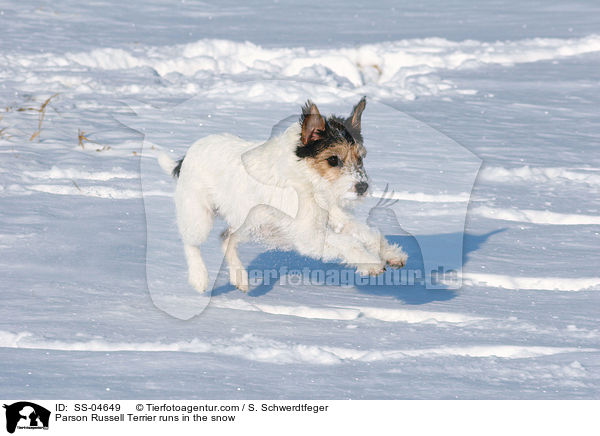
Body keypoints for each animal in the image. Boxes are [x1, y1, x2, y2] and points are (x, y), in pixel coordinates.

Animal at [159, 97, 408, 292]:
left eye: (361, 158)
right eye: (333, 159)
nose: (362, 187)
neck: (310, 181)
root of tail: (187, 156)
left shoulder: (335, 216)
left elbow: (368, 233)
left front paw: (390, 253)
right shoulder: (309, 235)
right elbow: (347, 243)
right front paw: (371, 262)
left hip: (251, 223)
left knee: (226, 238)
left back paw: (239, 277)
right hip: (198, 216)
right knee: (191, 243)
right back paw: (199, 278)